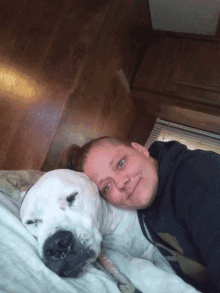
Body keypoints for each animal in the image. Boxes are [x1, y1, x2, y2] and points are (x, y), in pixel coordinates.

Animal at [20, 169, 199, 292]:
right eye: (30, 222)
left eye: (72, 197)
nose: (56, 244)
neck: (112, 225)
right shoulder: (112, 254)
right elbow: (137, 265)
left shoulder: (156, 250)